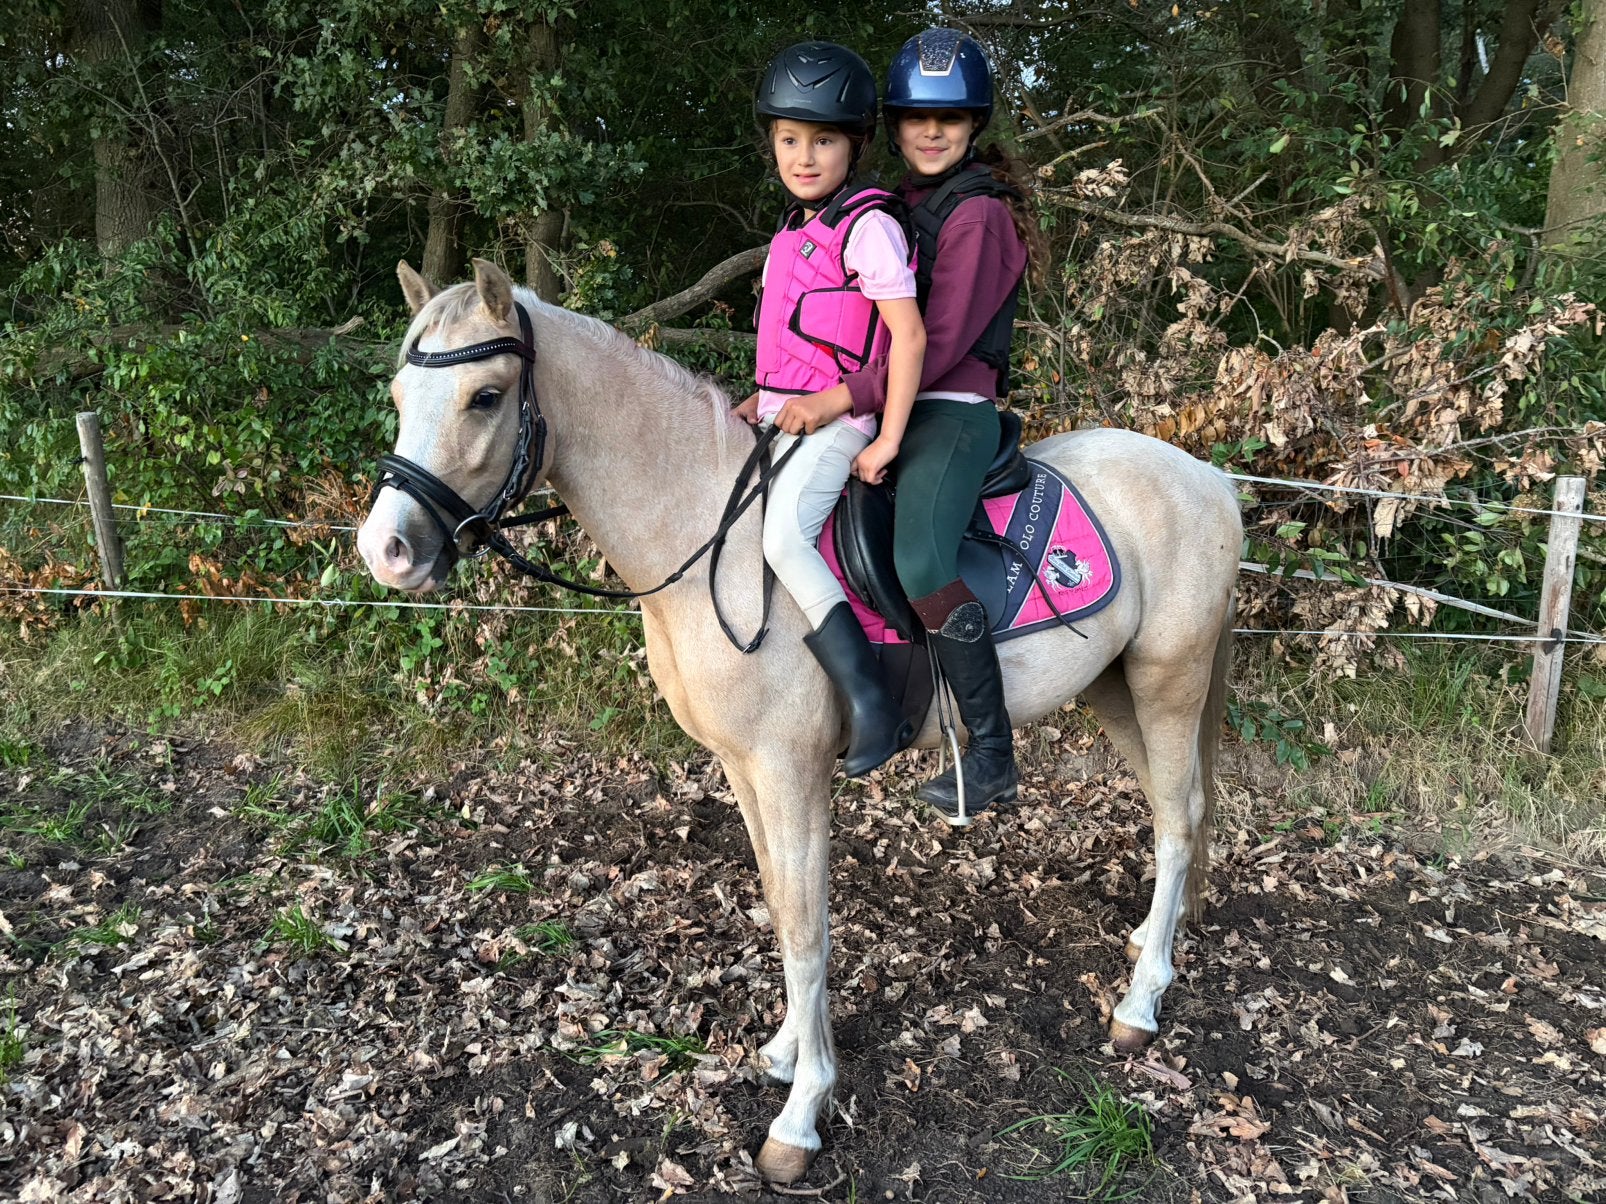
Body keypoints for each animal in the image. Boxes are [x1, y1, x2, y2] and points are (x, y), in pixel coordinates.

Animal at [356, 259, 1242, 1185]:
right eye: (399, 393)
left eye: (486, 397)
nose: (384, 551)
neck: (712, 535)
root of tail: (1207, 478)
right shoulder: (744, 769)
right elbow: (784, 908)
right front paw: (787, 1052)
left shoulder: (791, 771)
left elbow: (809, 928)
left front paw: (802, 1115)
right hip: (1114, 688)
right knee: (1173, 811)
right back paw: (1150, 943)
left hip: (1168, 681)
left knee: (1178, 822)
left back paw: (1140, 1002)